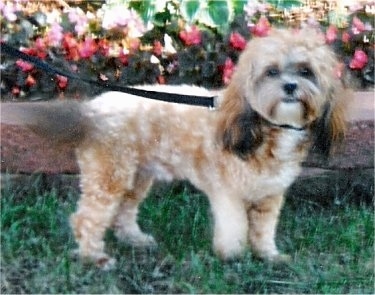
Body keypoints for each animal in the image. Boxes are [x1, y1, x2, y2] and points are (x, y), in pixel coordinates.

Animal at [2, 28, 350, 270]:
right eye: (272, 71)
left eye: (306, 71)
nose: (290, 87)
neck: (265, 130)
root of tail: (91, 111)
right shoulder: (228, 194)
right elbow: (234, 230)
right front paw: (233, 258)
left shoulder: (270, 196)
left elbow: (263, 231)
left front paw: (269, 256)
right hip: (109, 175)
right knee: (87, 218)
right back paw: (95, 258)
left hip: (136, 177)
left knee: (123, 213)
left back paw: (135, 240)